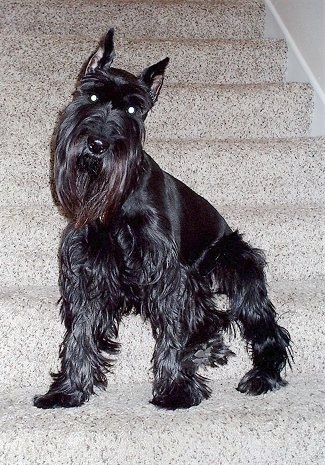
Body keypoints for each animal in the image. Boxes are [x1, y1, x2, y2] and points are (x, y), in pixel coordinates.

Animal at [33, 29, 292, 408]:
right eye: (92, 95)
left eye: (132, 108)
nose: (97, 144)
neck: (116, 205)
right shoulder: (88, 270)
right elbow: (81, 330)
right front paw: (68, 390)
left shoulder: (169, 274)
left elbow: (172, 331)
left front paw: (176, 389)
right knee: (212, 318)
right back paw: (208, 348)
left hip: (237, 266)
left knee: (264, 328)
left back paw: (260, 374)